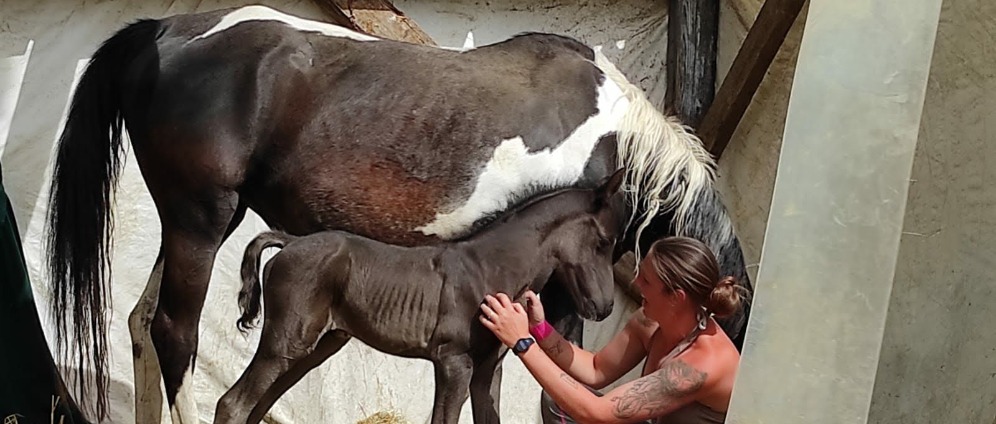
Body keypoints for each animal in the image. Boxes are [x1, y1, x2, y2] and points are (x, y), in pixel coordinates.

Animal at [214, 170, 628, 424]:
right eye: (603, 242)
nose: (605, 306)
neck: (490, 268)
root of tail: (290, 242)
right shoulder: (453, 363)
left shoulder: (487, 371)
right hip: (287, 341)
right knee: (233, 404)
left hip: (317, 346)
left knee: (259, 404)